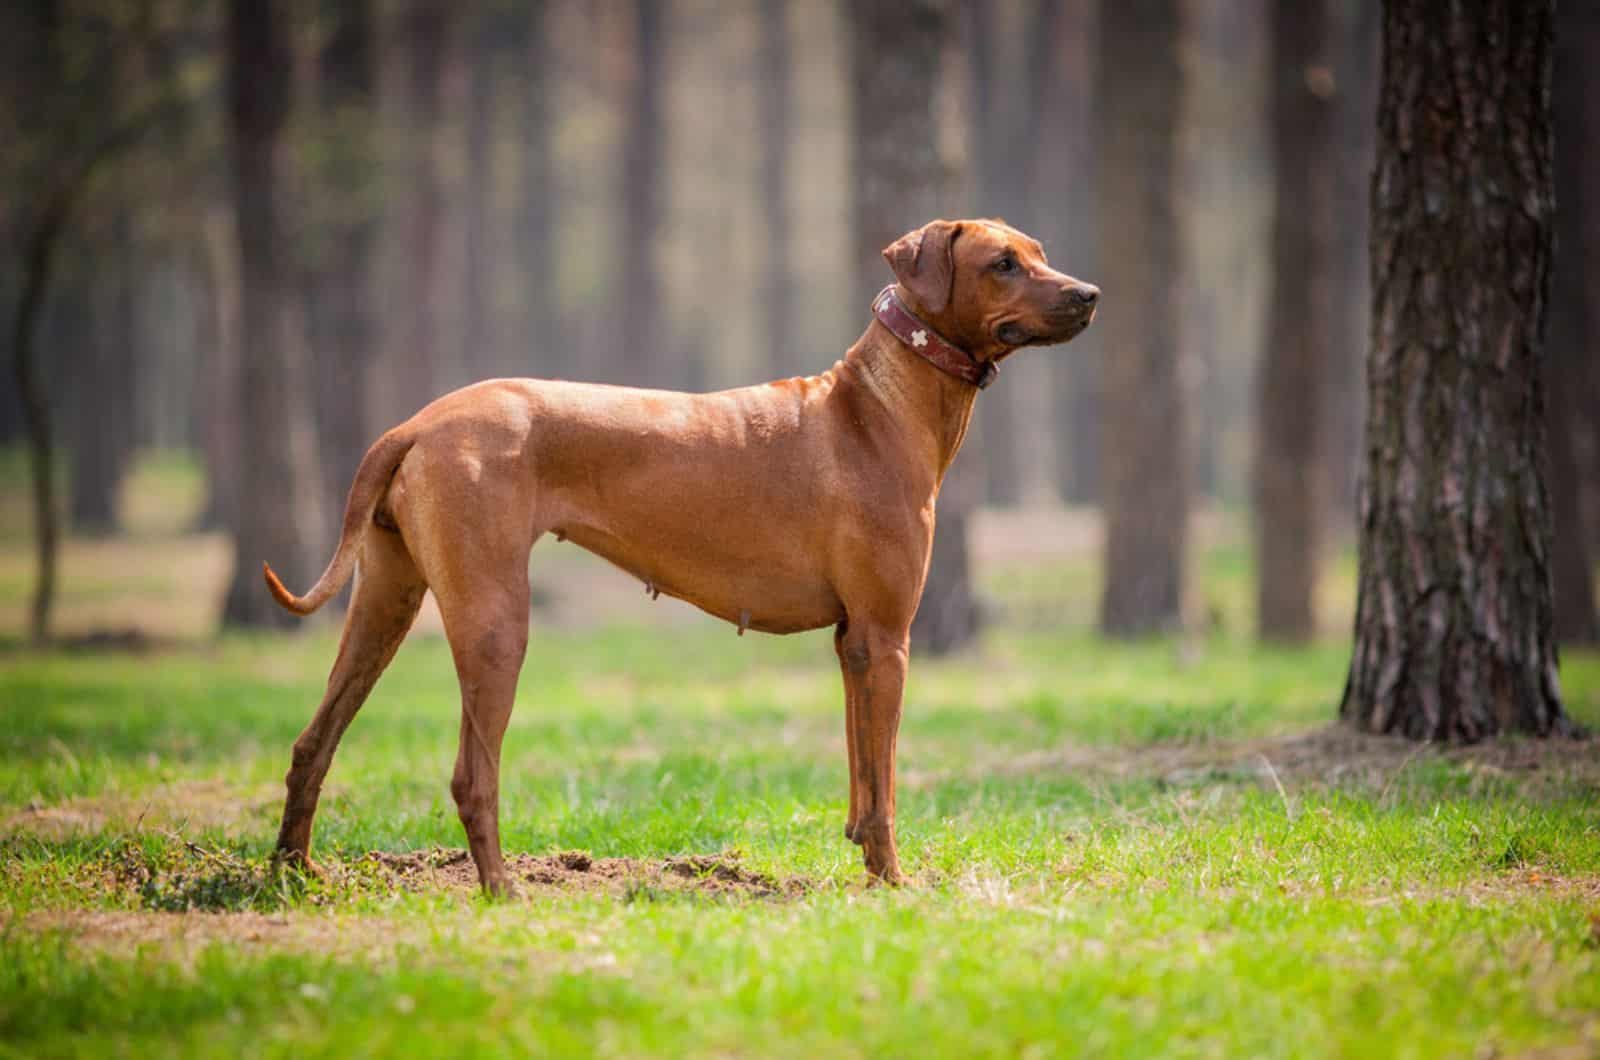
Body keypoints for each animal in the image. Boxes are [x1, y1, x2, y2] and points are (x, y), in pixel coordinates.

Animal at [265, 219, 1100, 890]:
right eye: (1003, 263)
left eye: (1040, 253)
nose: (1090, 293)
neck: (879, 404)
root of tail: (416, 423)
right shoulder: (888, 637)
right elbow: (887, 787)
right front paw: (894, 884)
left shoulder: (854, 644)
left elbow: (864, 781)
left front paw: (867, 864)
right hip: (495, 621)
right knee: (473, 778)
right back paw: (503, 891)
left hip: (385, 603)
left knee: (313, 743)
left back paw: (293, 874)